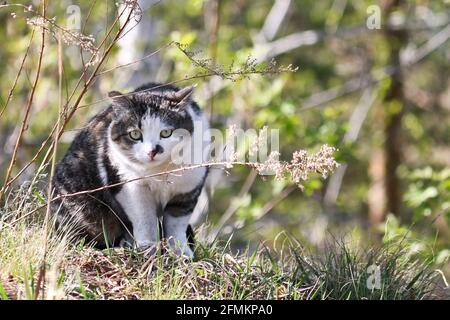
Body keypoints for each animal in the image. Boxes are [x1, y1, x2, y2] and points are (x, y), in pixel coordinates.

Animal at [51, 83, 211, 258]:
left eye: (166, 133)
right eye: (134, 134)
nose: (152, 151)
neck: (160, 171)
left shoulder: (187, 190)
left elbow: (177, 225)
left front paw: (181, 253)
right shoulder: (130, 186)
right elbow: (144, 218)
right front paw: (149, 249)